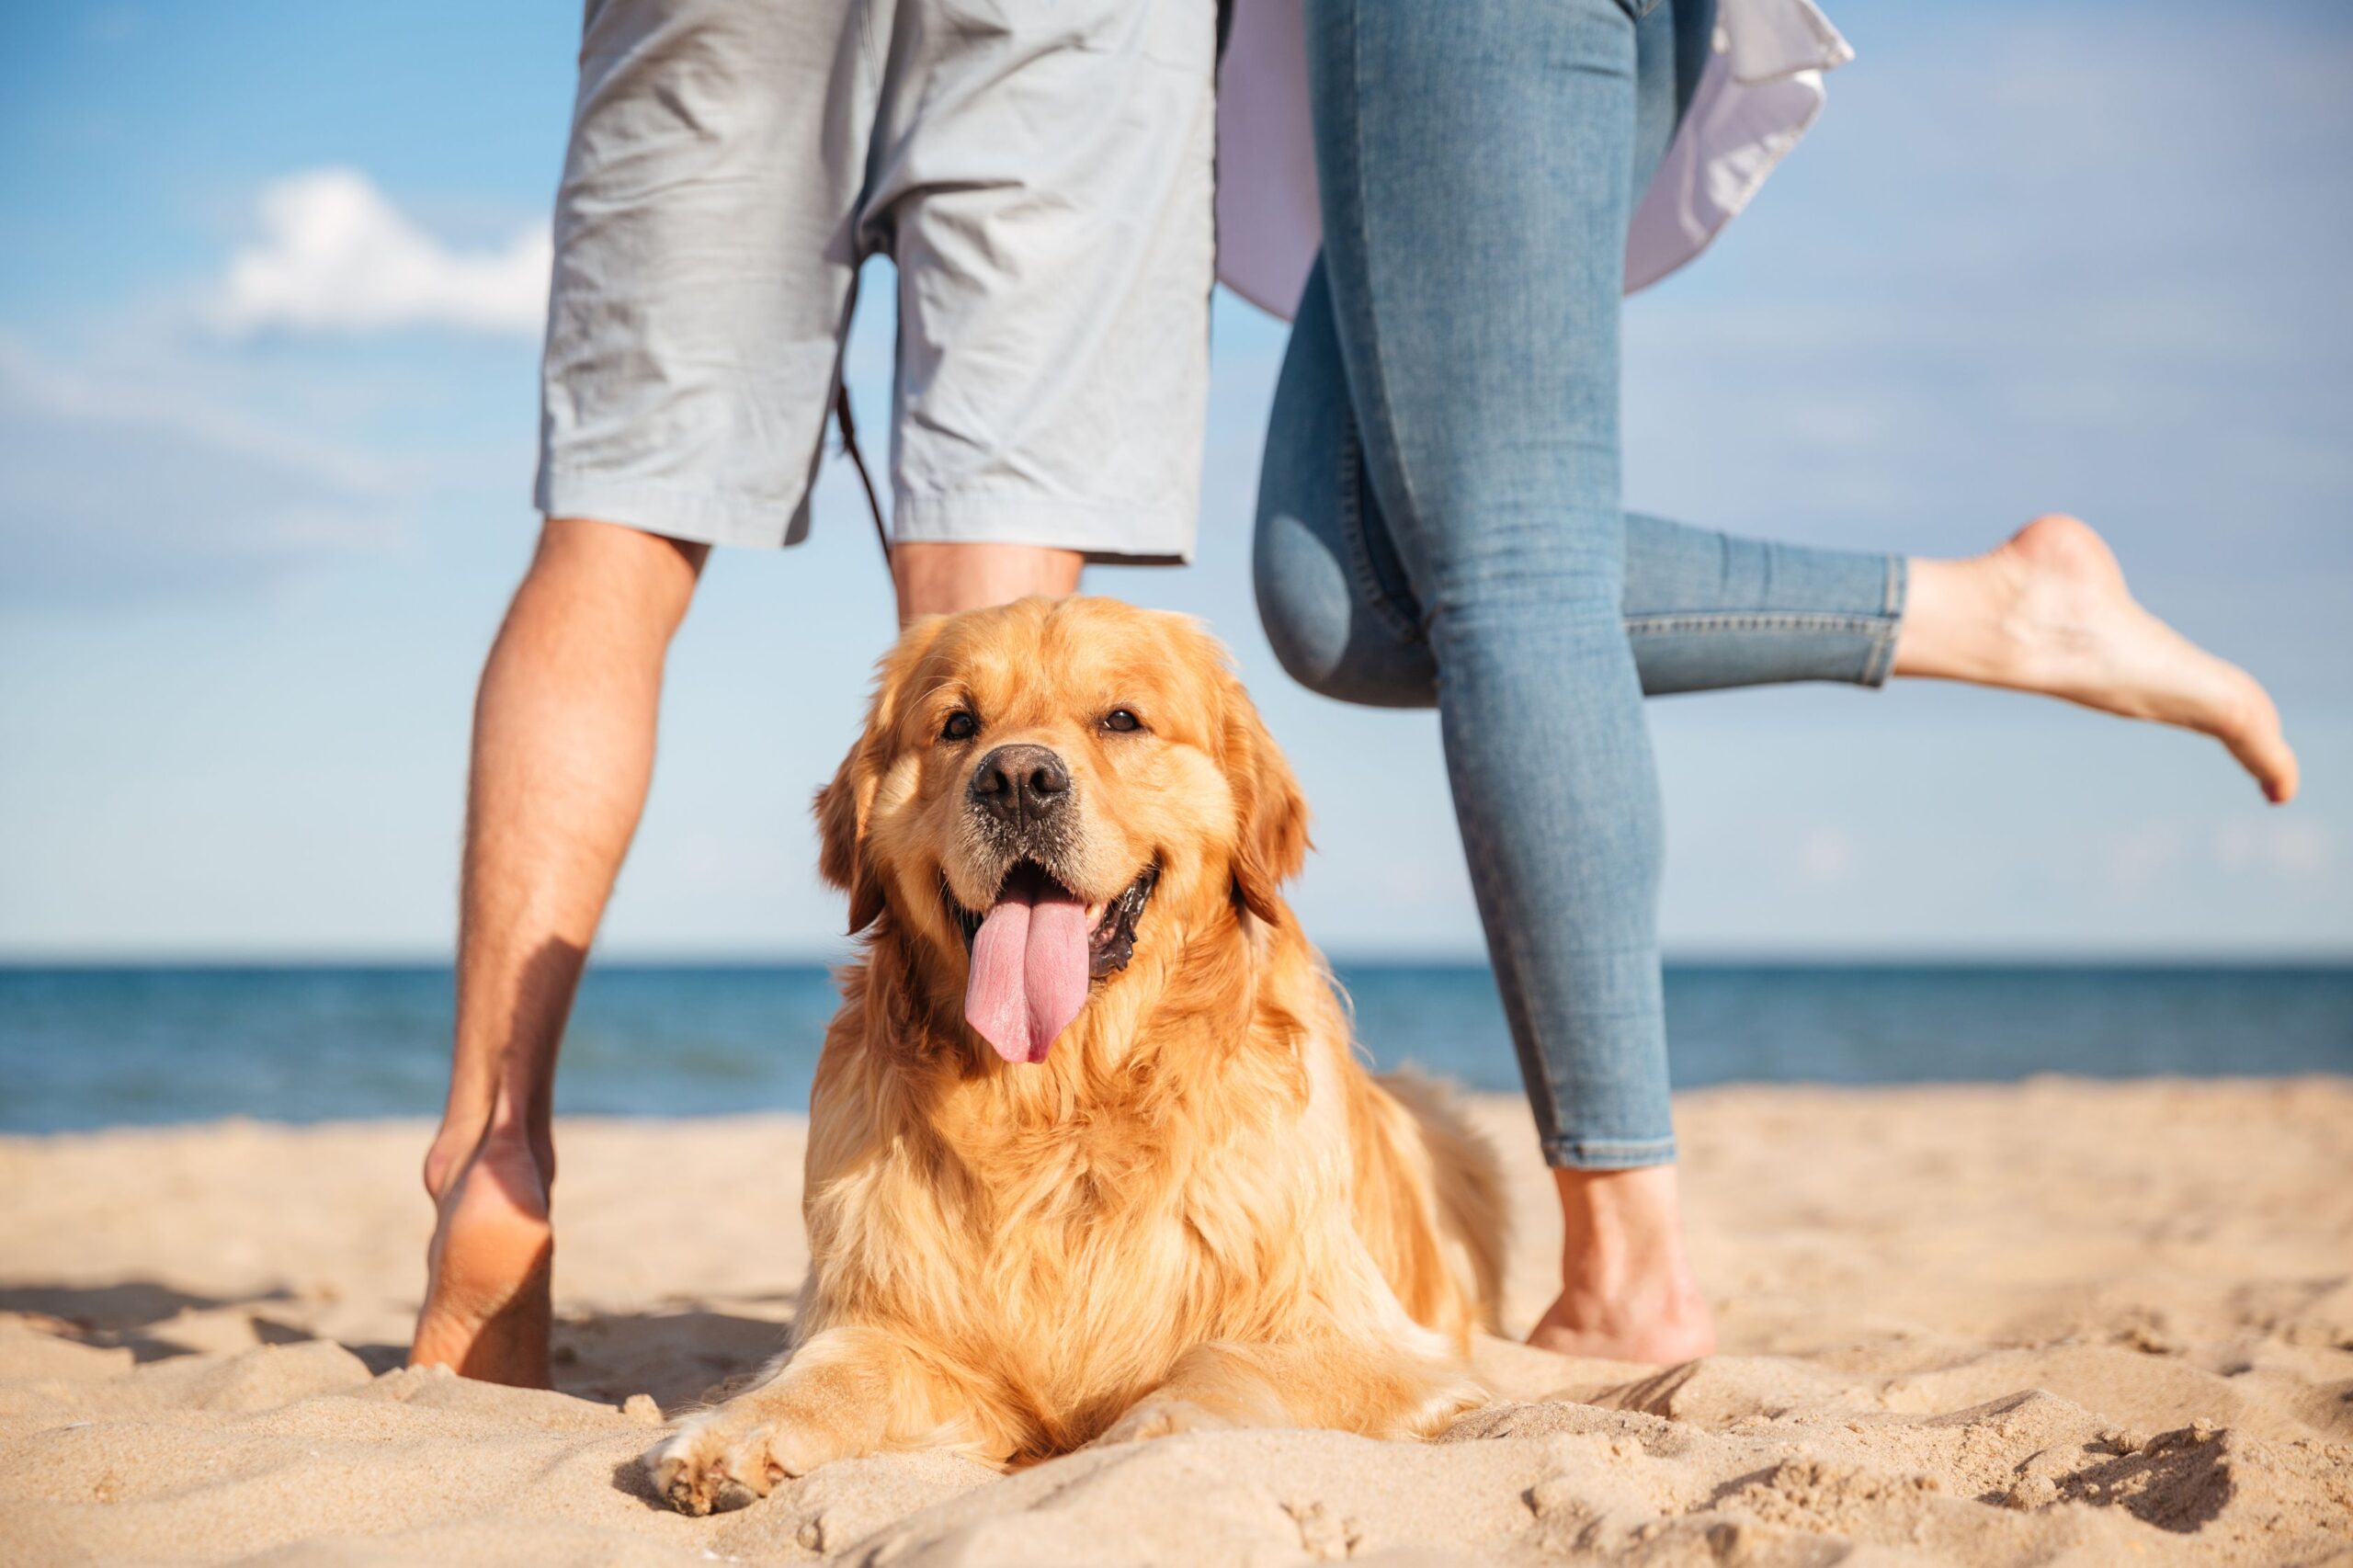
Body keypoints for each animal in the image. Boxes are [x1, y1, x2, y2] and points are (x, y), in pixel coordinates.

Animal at [644, 593, 1496, 1506]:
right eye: (957, 725)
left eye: (1121, 719)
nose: (1017, 779)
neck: (1063, 1100)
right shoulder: (901, 1315)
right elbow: (836, 1367)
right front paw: (739, 1430)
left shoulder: (1369, 1338)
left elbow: (1222, 1362)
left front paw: (1144, 1440)